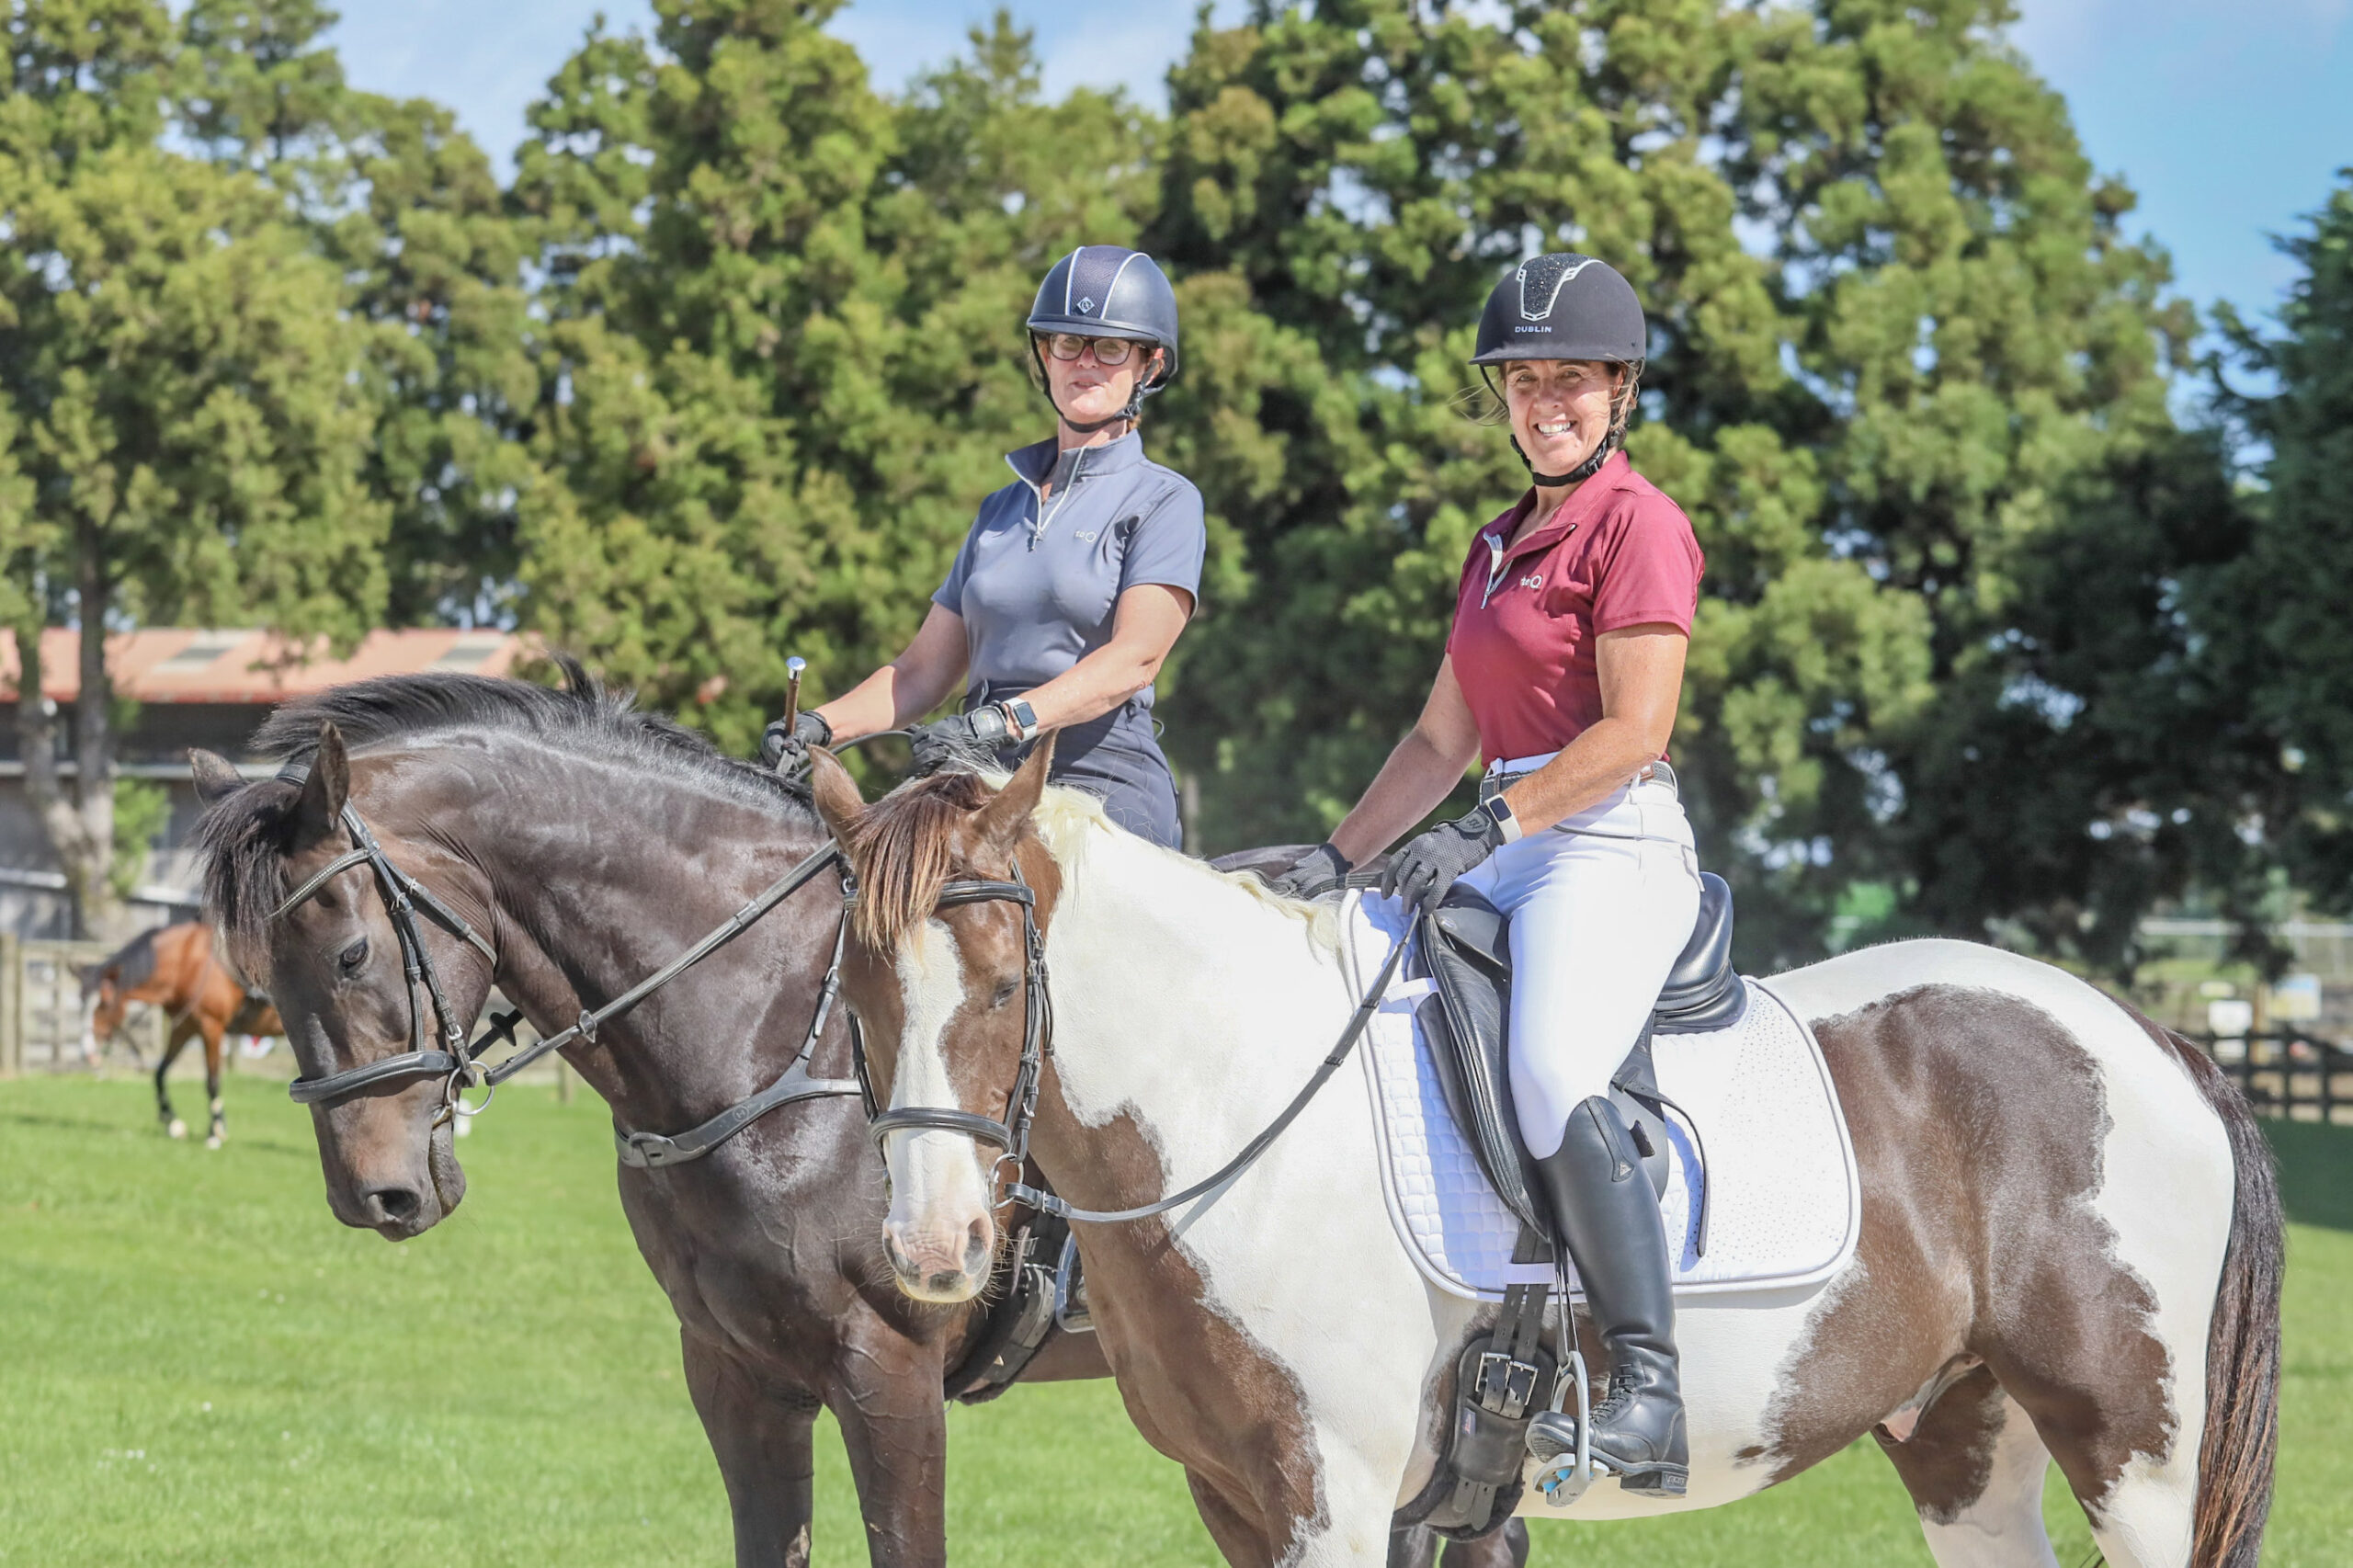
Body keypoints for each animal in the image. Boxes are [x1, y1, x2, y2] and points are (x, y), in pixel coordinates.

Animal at [80, 918, 282, 1149]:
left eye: (104, 1003)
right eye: (81, 1000)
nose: (86, 1050)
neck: (188, 963)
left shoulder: (211, 1027)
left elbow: (212, 1082)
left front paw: (214, 1133)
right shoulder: (183, 1029)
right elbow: (159, 1074)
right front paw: (173, 1124)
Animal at [183, 673, 1515, 1562]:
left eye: (352, 951)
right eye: (257, 971)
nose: (380, 1192)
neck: (765, 1041)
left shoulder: (888, 1372)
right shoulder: (735, 1374)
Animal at [809, 744, 2278, 1562]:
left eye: (1007, 985)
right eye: (861, 990)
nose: (931, 1248)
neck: (1235, 1099)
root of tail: (2154, 1037)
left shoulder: (1334, 1499)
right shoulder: (1243, 1499)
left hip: (2136, 1456)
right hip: (1965, 1439)